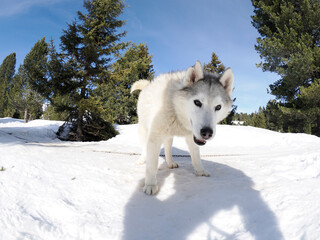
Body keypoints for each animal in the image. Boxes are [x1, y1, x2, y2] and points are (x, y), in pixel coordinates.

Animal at [131, 61, 234, 194]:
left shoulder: (192, 137)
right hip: (144, 131)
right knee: (145, 148)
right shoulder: (155, 136)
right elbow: (152, 164)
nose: (207, 132)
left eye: (218, 107)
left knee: (168, 149)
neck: (176, 110)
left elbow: (196, 157)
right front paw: (150, 184)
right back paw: (142, 160)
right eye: (197, 102)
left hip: (168, 136)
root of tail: (148, 85)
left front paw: (200, 171)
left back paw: (170, 163)